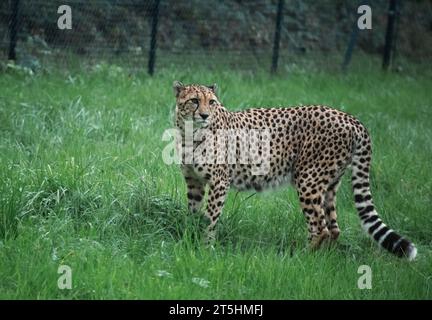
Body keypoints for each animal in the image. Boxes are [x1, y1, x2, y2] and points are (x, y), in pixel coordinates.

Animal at [172, 80, 418, 260]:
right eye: (194, 101)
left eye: (212, 102)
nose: (204, 115)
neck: (190, 133)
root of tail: (350, 118)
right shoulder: (194, 182)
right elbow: (192, 212)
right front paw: (189, 237)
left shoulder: (219, 182)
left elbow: (211, 217)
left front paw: (205, 247)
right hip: (329, 184)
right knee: (334, 227)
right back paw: (323, 260)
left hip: (308, 179)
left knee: (320, 227)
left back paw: (302, 257)